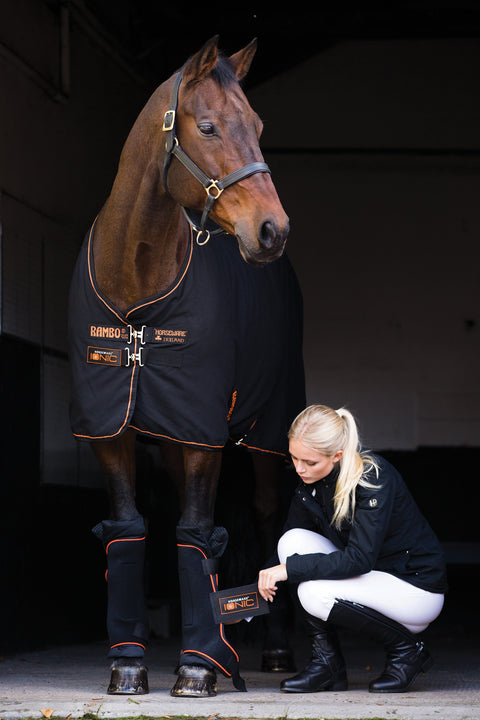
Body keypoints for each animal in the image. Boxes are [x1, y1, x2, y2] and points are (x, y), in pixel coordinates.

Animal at [68, 36, 305, 697]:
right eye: (207, 127)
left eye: (258, 126)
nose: (272, 230)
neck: (137, 284)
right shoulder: (111, 430)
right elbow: (129, 528)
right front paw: (128, 664)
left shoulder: (203, 431)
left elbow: (197, 533)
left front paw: (198, 668)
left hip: (266, 435)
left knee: (267, 519)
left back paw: (274, 651)